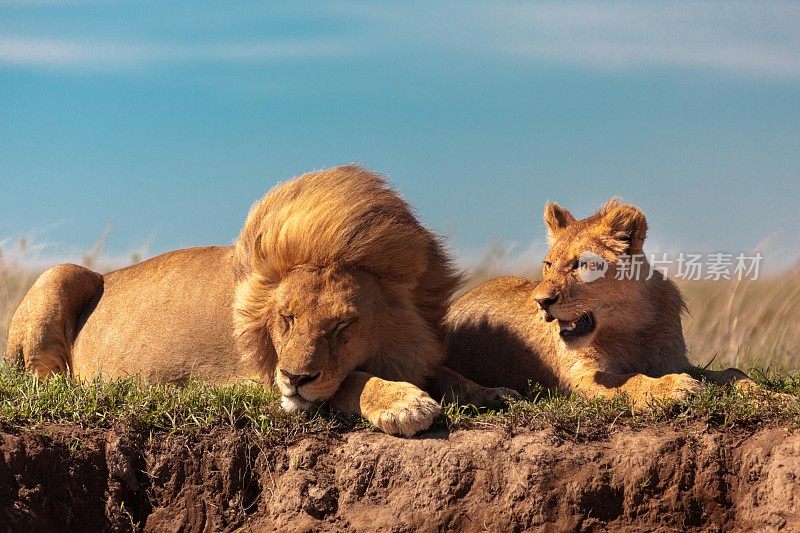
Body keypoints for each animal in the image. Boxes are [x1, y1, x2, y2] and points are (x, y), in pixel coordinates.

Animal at [6, 166, 506, 436]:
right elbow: (352, 379)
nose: (295, 378)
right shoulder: (262, 382)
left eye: (344, 326)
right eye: (286, 318)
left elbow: (445, 372)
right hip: (59, 273)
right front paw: (404, 404)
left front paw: (491, 391)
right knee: (43, 381)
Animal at [446, 200, 752, 408]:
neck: (628, 327)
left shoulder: (674, 360)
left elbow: (730, 373)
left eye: (581, 265)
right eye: (548, 264)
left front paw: (757, 391)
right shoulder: (582, 376)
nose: (541, 302)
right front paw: (674, 387)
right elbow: (631, 380)